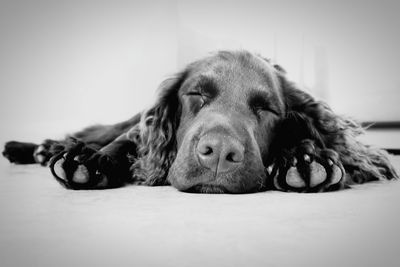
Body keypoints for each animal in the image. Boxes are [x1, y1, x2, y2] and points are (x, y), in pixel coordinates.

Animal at [1, 50, 398, 193]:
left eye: (267, 109)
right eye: (196, 94)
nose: (219, 153)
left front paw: (306, 159)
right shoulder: (139, 131)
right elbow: (125, 143)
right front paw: (90, 161)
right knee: (97, 132)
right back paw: (38, 147)